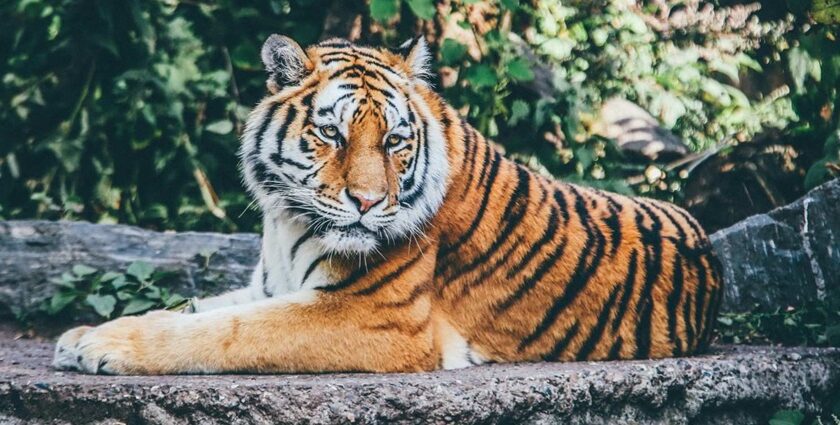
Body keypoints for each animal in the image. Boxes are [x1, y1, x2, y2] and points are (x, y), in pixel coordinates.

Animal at [50, 34, 720, 372]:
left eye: (395, 141)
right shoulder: (270, 285)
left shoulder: (374, 316)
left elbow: (225, 332)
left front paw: (101, 347)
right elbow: (194, 309)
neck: (285, 220)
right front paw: (83, 334)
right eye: (332, 133)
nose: (369, 203)